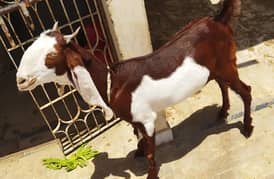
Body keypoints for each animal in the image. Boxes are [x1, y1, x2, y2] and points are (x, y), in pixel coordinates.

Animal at [17, 0, 253, 178]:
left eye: (51, 55)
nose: (20, 80)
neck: (112, 82)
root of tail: (217, 21)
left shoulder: (146, 118)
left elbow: (150, 152)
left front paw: (150, 172)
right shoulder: (135, 119)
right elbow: (136, 135)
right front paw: (138, 150)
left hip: (227, 65)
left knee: (245, 91)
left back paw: (247, 127)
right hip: (216, 69)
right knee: (223, 85)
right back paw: (223, 112)